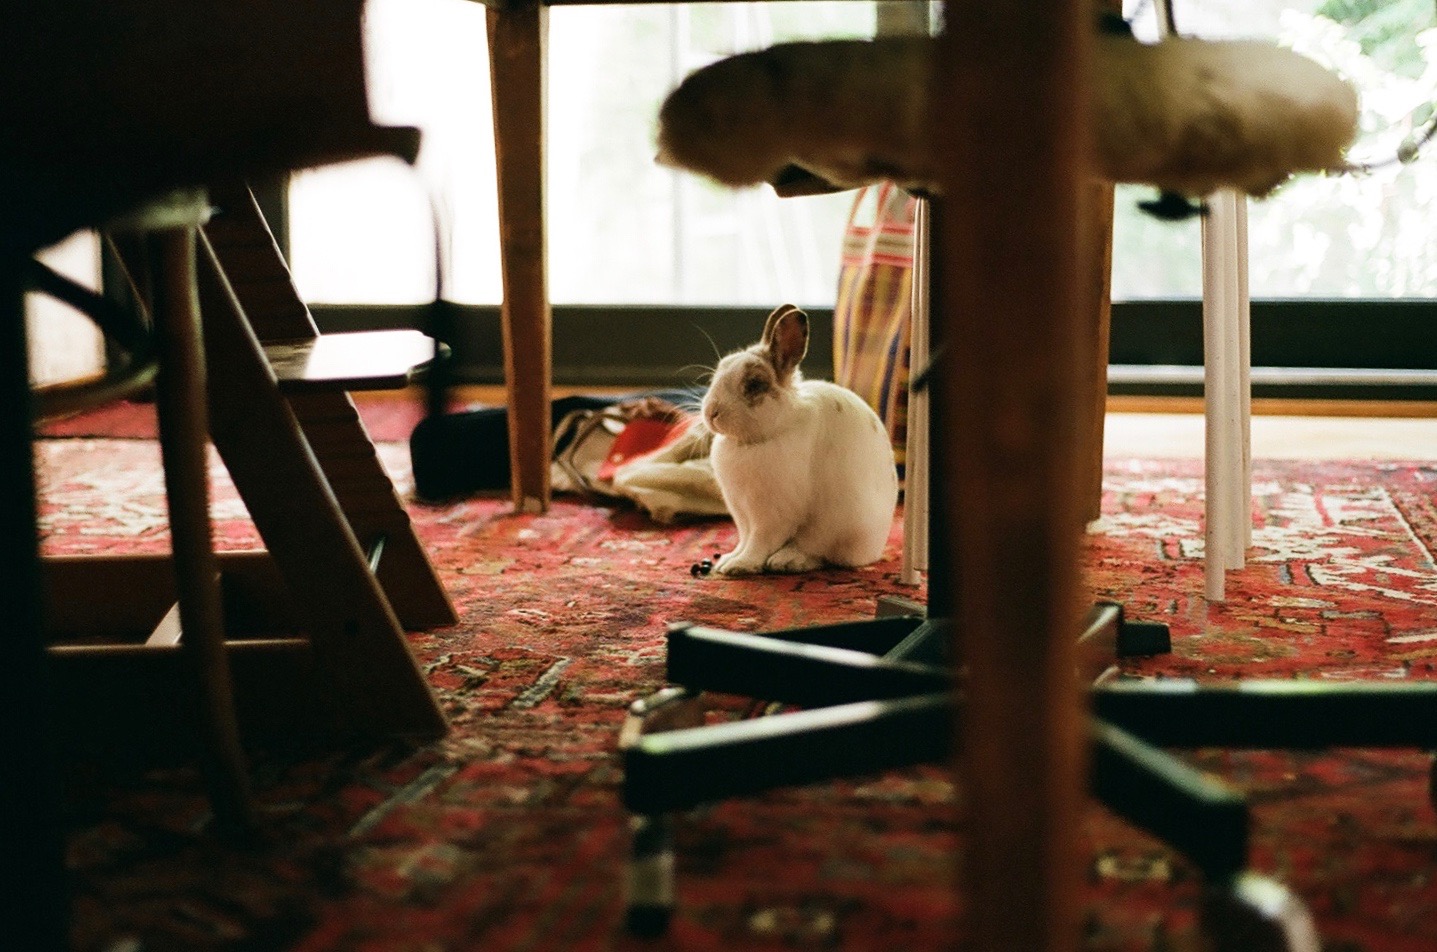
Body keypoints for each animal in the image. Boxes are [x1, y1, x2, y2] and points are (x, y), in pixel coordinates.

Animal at [702, 303, 899, 575]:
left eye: (754, 385)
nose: (711, 412)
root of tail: (875, 548)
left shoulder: (770, 513)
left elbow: (759, 541)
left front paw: (739, 565)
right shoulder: (742, 513)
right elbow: (744, 538)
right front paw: (728, 558)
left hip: (834, 526)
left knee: (818, 553)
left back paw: (787, 560)